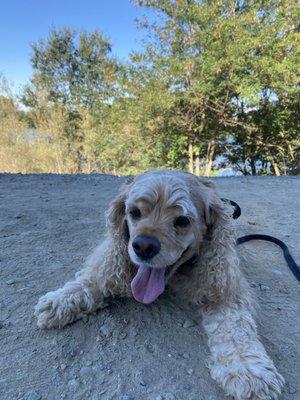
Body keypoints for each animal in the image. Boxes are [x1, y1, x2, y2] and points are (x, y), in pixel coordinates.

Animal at [34, 170, 284, 400]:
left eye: (182, 220)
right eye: (134, 213)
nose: (143, 246)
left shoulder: (224, 286)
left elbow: (234, 327)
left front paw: (247, 369)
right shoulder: (111, 262)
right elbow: (94, 280)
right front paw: (60, 301)